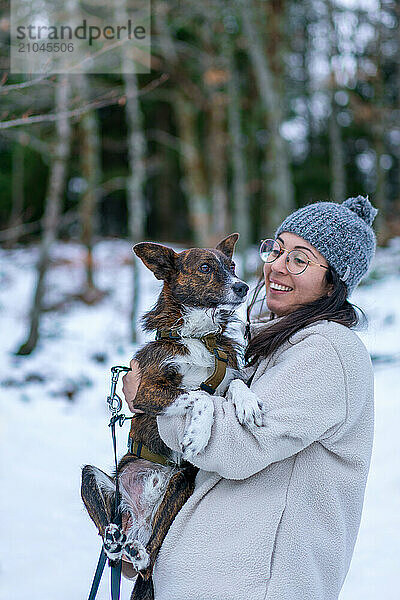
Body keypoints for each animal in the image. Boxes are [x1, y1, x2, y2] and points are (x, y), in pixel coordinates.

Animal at [81, 232, 248, 596]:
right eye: (205, 268)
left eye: (231, 266)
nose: (243, 287)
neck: (199, 335)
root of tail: (139, 521)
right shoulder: (146, 391)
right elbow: (198, 395)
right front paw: (197, 434)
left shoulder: (228, 375)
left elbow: (236, 384)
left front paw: (248, 402)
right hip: (97, 481)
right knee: (109, 539)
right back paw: (113, 539)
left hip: (180, 483)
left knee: (150, 554)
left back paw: (137, 551)